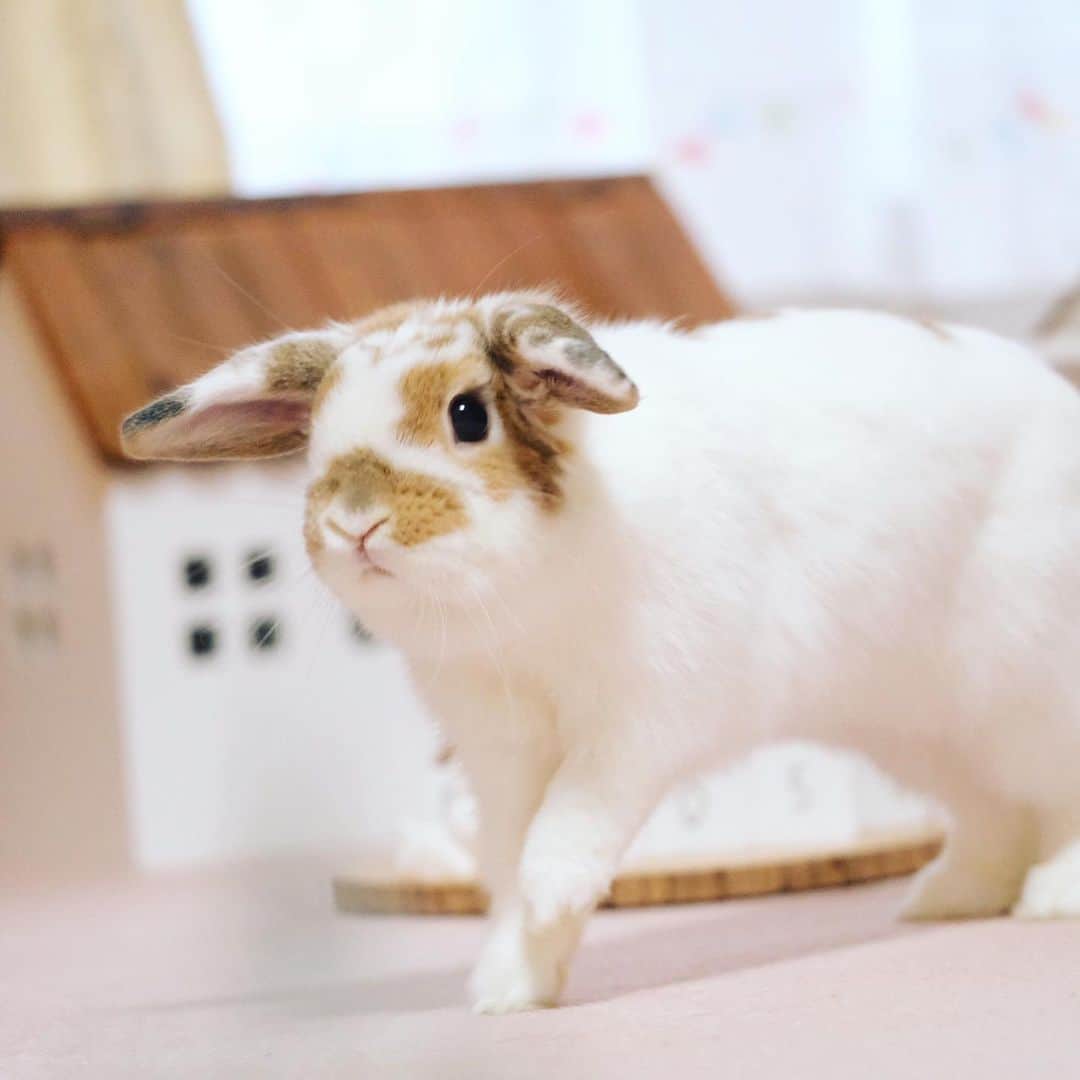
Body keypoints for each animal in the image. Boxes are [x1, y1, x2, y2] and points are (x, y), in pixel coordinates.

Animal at [123, 292, 1080, 1012]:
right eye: (319, 430)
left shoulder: (639, 723)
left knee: (1055, 799)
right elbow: (506, 859)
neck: (523, 603)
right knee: (995, 815)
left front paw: (551, 898)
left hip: (1026, 694)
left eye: (468, 415)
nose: (355, 521)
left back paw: (1048, 900)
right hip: (928, 731)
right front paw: (510, 985)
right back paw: (949, 898)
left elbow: (570, 824)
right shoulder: (502, 754)